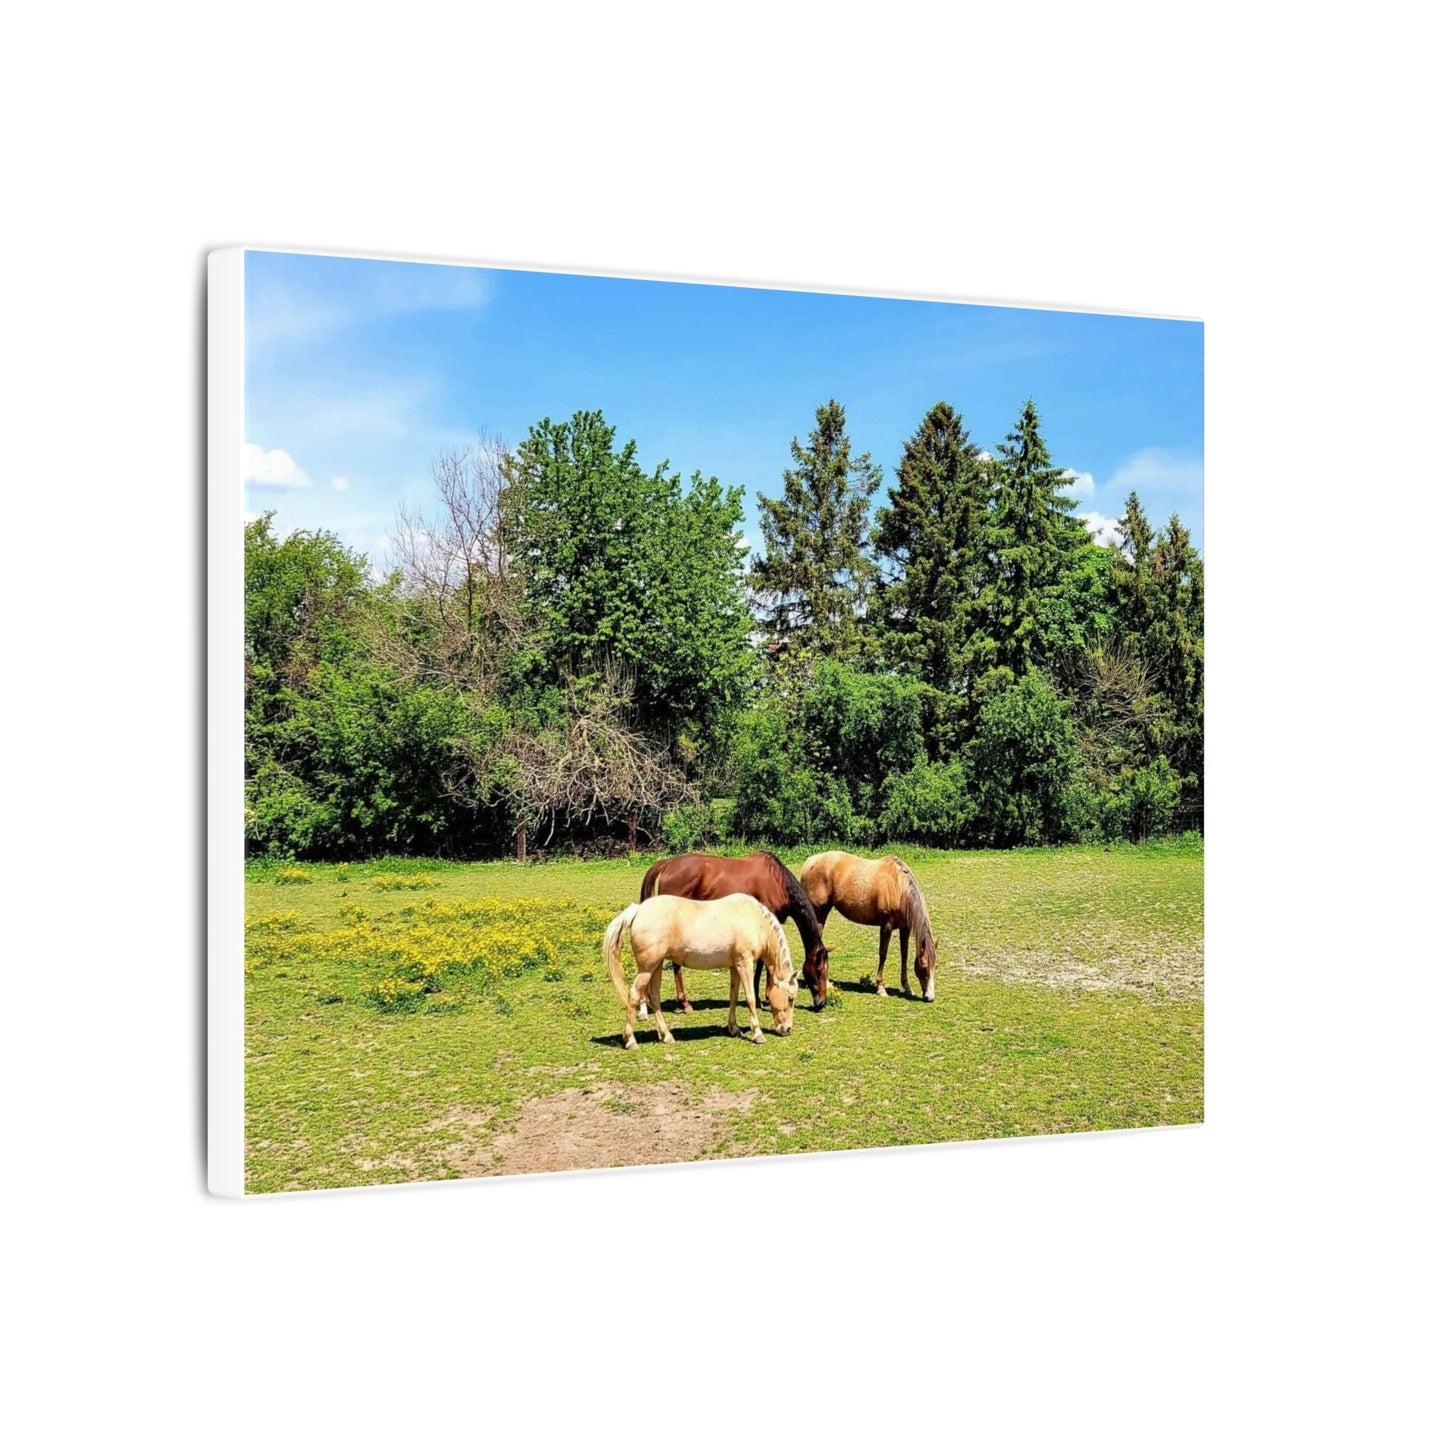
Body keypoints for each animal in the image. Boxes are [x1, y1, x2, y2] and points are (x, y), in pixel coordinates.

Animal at [603, 892, 798, 1049]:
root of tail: (639, 909)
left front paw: (734, 1028)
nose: (787, 1029)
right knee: (634, 995)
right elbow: (750, 998)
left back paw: (666, 1035)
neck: (755, 920)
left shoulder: (735, 967)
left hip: (655, 967)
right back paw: (630, 1041)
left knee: (654, 996)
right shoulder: (745, 964)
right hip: (646, 968)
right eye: (790, 997)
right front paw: (758, 1034)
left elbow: (733, 996)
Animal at [637, 851, 830, 1010]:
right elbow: (763, 963)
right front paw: (764, 998)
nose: (821, 1002)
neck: (778, 884)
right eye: (820, 971)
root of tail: (668, 863)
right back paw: (684, 1003)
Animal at [800, 851, 938, 1002]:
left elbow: (904, 955)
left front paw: (907, 988)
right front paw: (881, 988)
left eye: (935, 966)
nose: (930, 997)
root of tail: (810, 861)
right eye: (924, 966)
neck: (899, 887)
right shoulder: (886, 925)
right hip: (819, 913)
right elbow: (883, 954)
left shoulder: (905, 928)